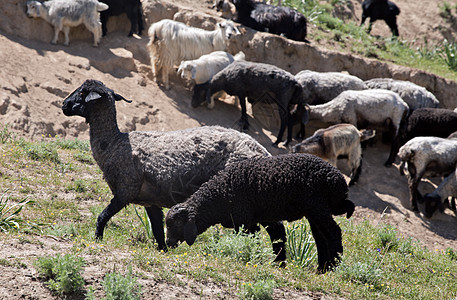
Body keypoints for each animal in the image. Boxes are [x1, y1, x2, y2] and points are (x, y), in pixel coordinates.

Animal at [60, 78, 274, 250]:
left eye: (82, 92)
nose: (64, 105)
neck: (113, 143)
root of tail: (262, 151)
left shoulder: (125, 191)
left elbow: (102, 216)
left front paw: (97, 239)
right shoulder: (150, 201)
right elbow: (157, 230)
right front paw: (163, 250)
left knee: (252, 230)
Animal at [166, 154, 354, 274]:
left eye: (177, 224)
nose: (167, 244)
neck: (220, 193)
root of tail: (338, 180)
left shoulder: (245, 221)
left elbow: (251, 241)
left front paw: (253, 259)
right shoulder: (265, 218)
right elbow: (278, 237)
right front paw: (280, 265)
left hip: (317, 207)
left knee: (333, 232)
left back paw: (333, 267)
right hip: (315, 211)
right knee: (321, 238)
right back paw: (321, 269)